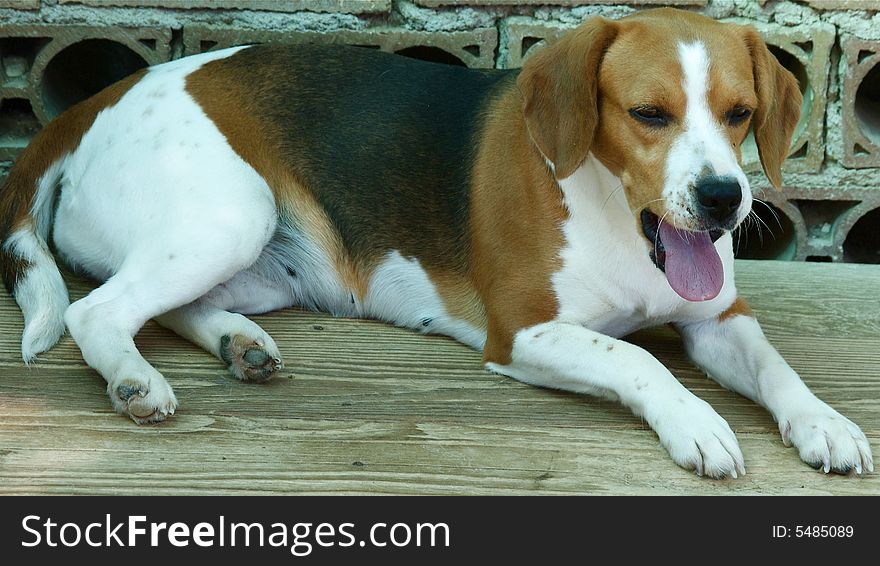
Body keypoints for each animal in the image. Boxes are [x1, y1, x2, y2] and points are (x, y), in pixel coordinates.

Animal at [0, 8, 872, 480]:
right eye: (649, 114)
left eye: (739, 113)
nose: (724, 200)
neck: (622, 220)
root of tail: (99, 100)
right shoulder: (523, 331)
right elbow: (638, 357)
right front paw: (695, 420)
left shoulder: (718, 319)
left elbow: (775, 365)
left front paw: (823, 420)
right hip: (233, 215)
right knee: (96, 313)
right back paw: (136, 382)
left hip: (264, 264)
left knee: (168, 308)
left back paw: (238, 344)